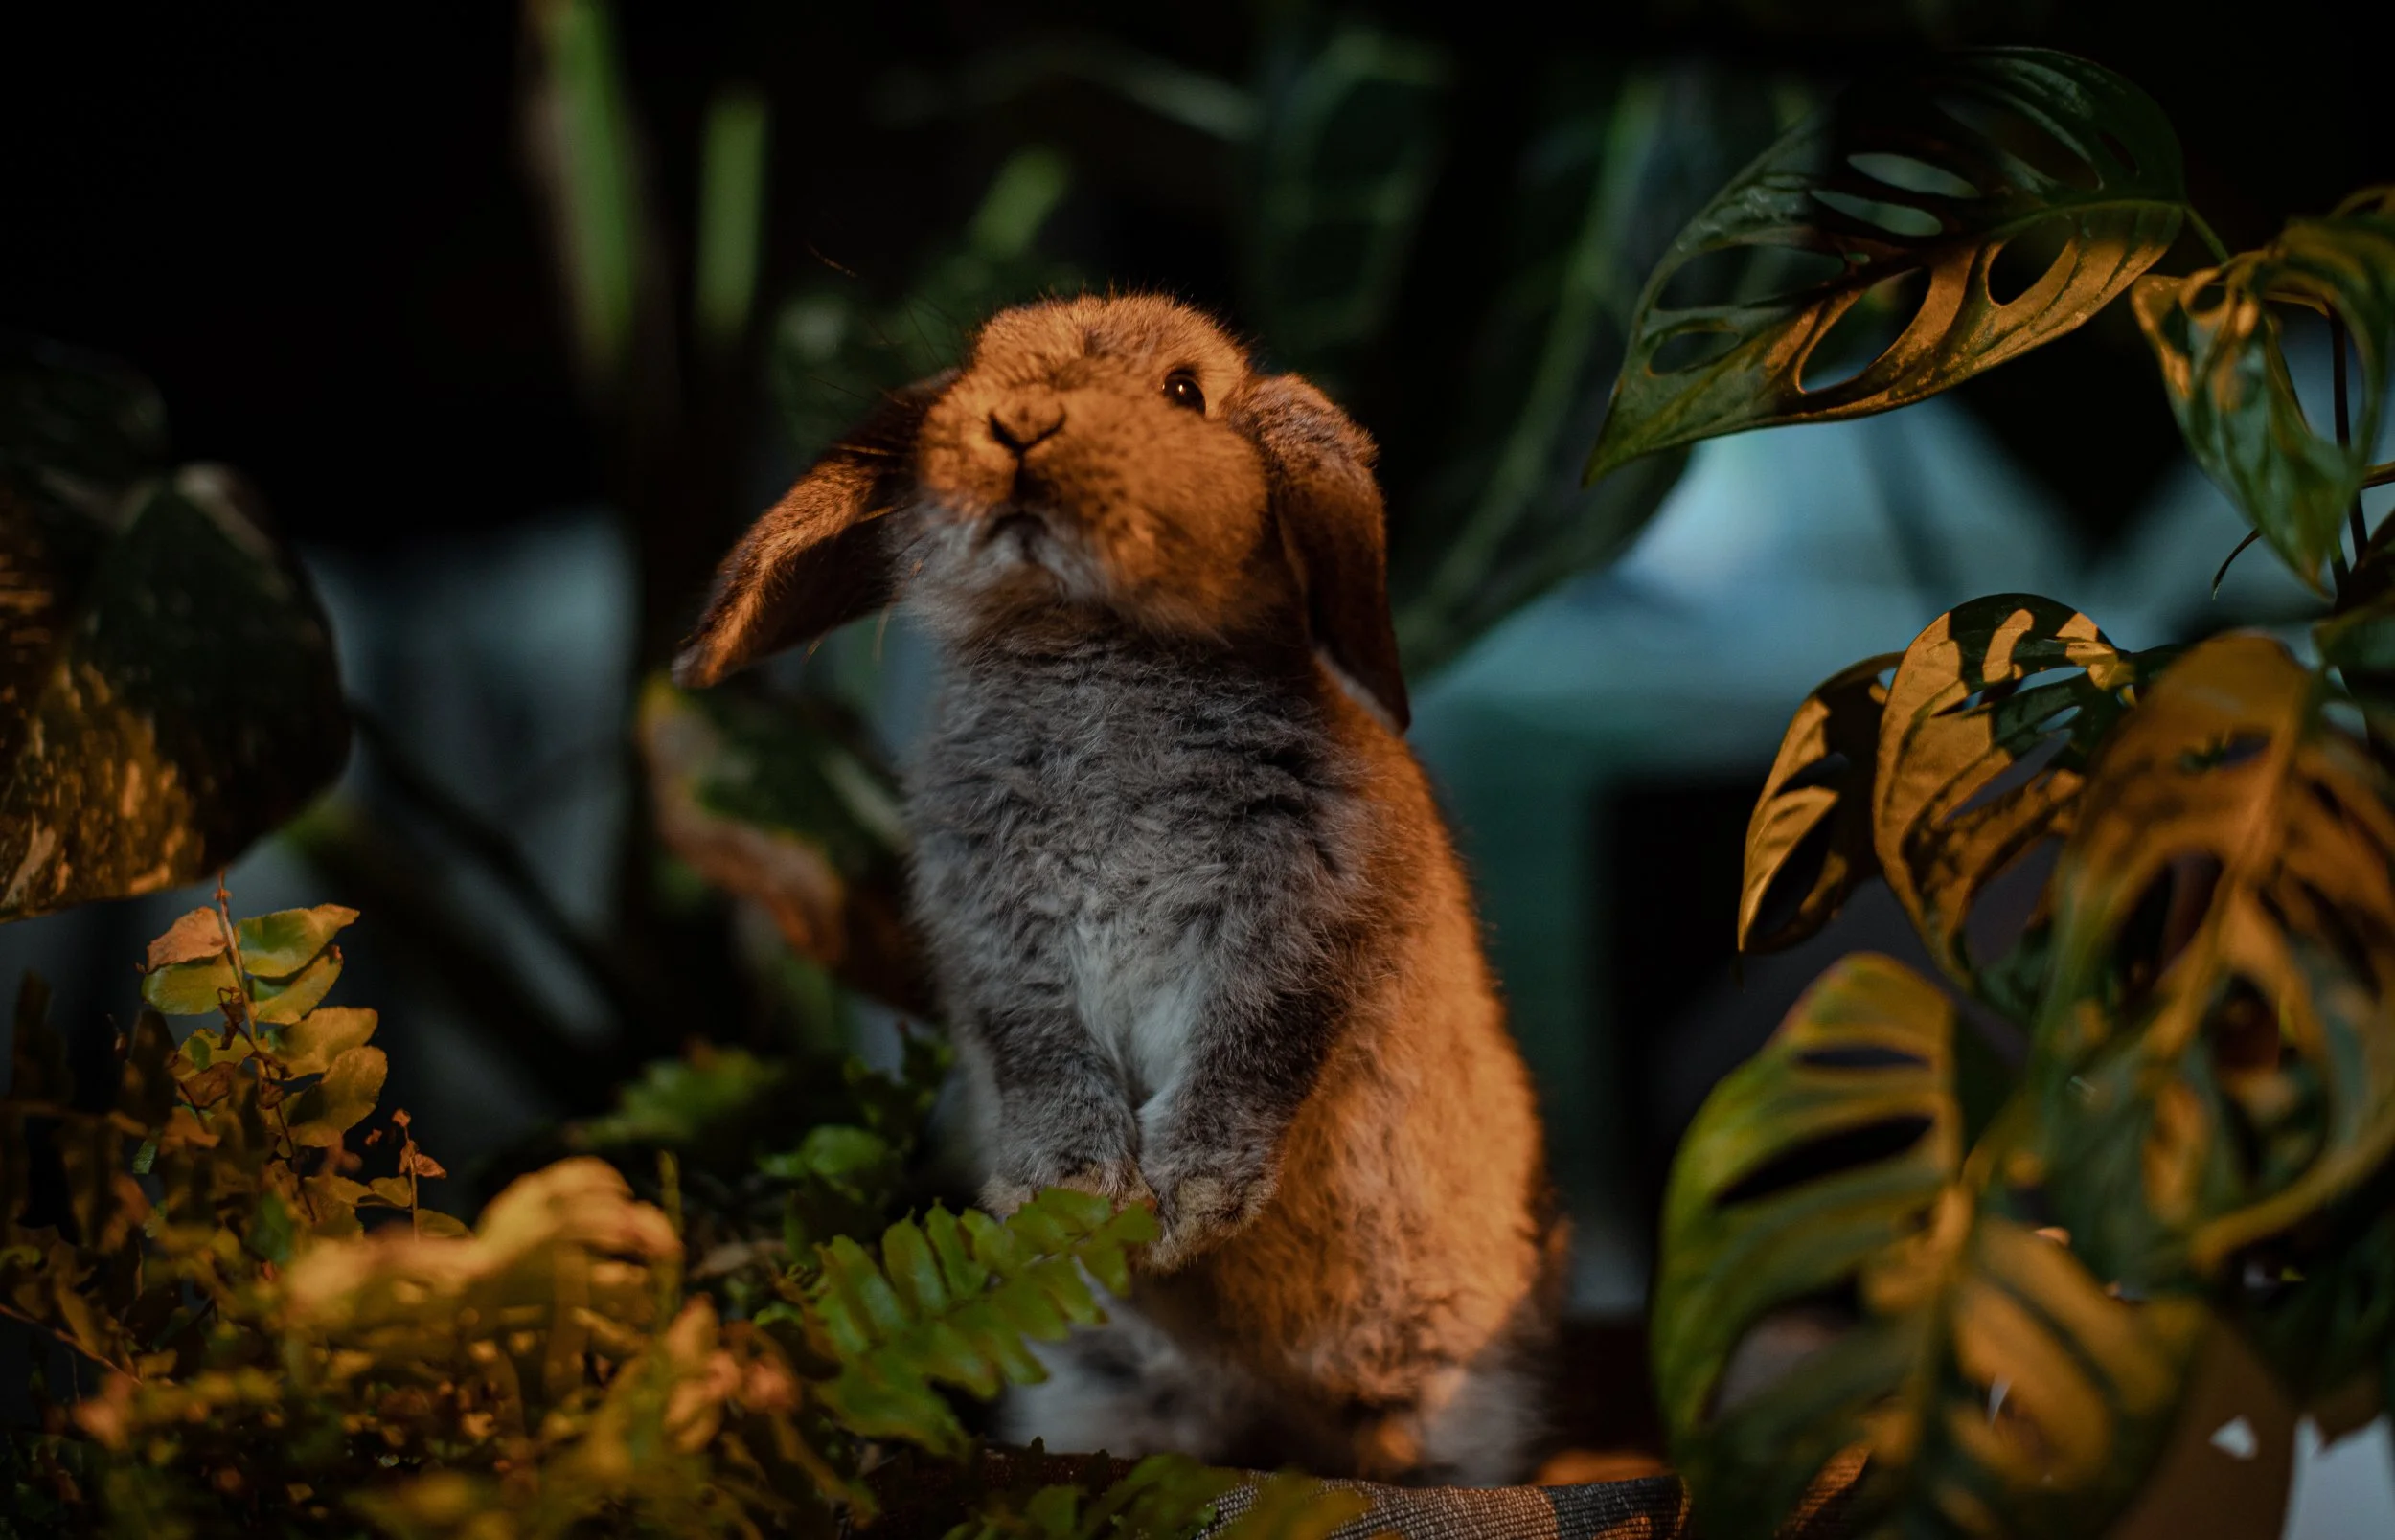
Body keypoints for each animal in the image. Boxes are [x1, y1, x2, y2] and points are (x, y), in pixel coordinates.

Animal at [675, 294, 1558, 1484]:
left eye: (1186, 391)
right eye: (972, 364)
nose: (1020, 421)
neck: (1086, 637)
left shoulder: (1299, 925)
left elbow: (1251, 1057)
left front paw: (1182, 1207)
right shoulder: (998, 946)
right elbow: (1041, 1055)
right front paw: (1082, 1195)